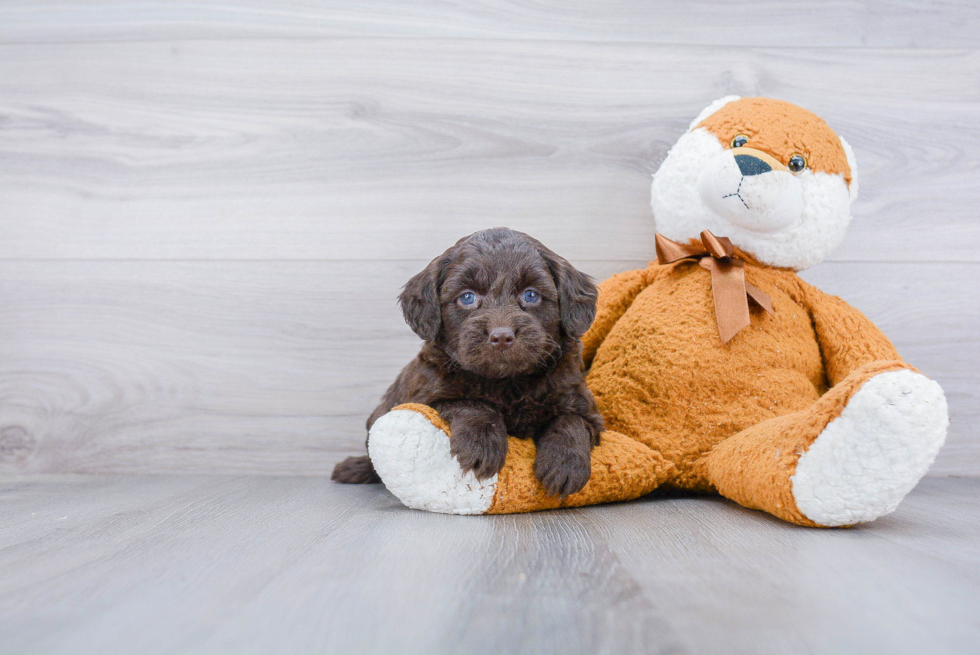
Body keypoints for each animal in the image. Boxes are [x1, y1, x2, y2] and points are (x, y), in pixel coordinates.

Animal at [332, 227, 604, 498]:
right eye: (467, 298)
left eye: (530, 295)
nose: (501, 336)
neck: (507, 382)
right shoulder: (426, 397)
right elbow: (472, 404)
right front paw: (481, 446)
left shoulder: (581, 404)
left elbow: (571, 421)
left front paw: (565, 465)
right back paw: (354, 468)